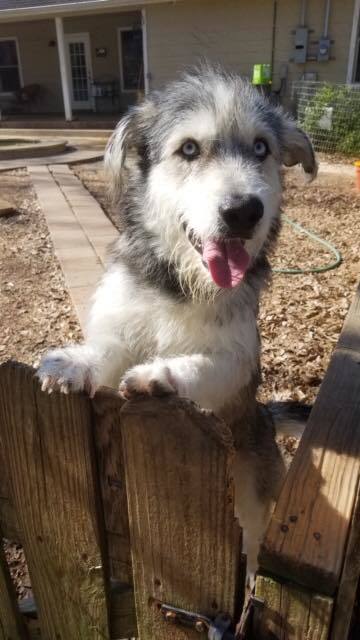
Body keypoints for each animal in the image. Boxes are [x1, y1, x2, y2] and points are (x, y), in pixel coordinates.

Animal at [38, 66, 316, 576]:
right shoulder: (120, 327)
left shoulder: (239, 360)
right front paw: (72, 363)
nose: (244, 211)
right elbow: (106, 351)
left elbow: (205, 365)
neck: (183, 285)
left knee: (252, 542)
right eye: (189, 149)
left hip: (251, 494)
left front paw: (159, 377)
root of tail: (263, 419)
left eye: (261, 148)